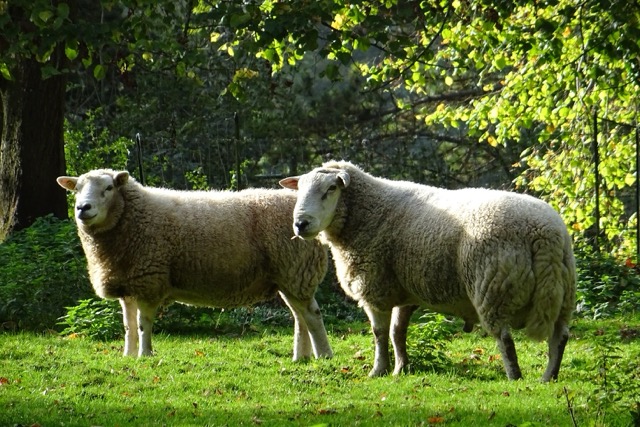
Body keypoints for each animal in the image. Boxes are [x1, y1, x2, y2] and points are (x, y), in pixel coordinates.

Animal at [56, 169, 333, 360]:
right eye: (76, 189)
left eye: (108, 187)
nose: (82, 208)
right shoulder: (129, 284)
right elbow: (128, 325)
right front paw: (128, 355)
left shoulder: (149, 281)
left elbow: (143, 324)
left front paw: (145, 355)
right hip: (288, 277)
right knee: (300, 317)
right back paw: (300, 357)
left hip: (296, 270)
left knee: (312, 314)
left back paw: (323, 355)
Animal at [280, 161, 576, 381]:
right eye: (299, 190)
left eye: (331, 188)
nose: (300, 224)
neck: (365, 213)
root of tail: (544, 233)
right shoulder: (405, 292)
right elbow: (397, 332)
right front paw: (400, 369)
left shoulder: (375, 288)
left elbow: (379, 333)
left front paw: (378, 370)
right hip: (563, 293)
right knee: (560, 338)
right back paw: (549, 377)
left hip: (493, 287)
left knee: (505, 339)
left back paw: (515, 377)